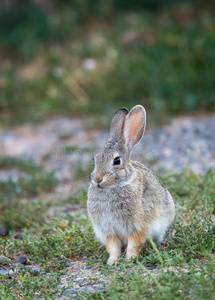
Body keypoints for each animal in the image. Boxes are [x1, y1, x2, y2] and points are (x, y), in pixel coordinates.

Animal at [86, 105, 176, 264]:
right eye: (95, 159)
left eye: (116, 161)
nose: (97, 179)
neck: (113, 188)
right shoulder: (108, 231)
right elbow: (113, 247)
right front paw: (112, 261)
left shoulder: (137, 226)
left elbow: (134, 243)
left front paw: (130, 259)